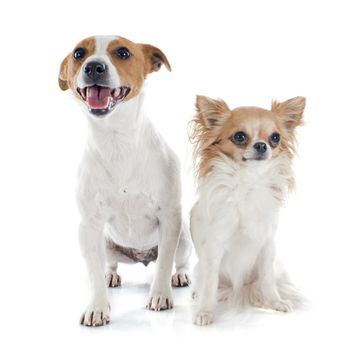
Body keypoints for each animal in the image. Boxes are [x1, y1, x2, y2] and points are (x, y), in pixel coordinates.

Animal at [59, 35, 193, 326]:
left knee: (177, 260)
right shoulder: (88, 226)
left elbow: (164, 263)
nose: (93, 67)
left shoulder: (169, 216)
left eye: (123, 52)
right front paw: (97, 307)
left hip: (183, 238)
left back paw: (180, 275)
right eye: (78, 53)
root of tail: (143, 255)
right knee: (107, 263)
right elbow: (93, 273)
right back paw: (111, 274)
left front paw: (160, 295)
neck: (115, 140)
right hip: (106, 243)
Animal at [189, 95, 304, 326]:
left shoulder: (267, 246)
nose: (261, 145)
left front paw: (274, 302)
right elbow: (209, 284)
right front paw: (205, 311)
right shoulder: (214, 248)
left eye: (275, 137)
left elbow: (267, 279)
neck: (249, 182)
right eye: (240, 136)